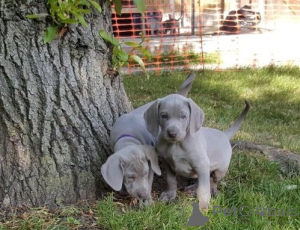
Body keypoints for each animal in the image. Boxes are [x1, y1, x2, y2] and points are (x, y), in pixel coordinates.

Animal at [102, 73, 196, 205]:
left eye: (145, 174)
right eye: (130, 177)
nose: (142, 194)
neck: (128, 136)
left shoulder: (150, 162)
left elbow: (150, 180)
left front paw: (147, 200)